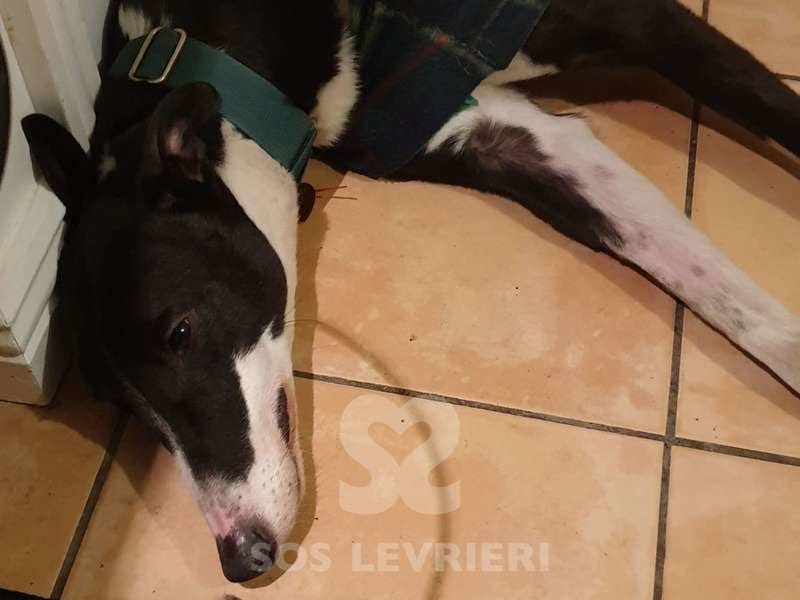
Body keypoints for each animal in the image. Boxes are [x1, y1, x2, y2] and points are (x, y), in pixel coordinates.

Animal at [20, 0, 800, 584]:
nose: (242, 558)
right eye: (116, 402)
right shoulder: (496, 133)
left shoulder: (631, 17)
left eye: (179, 333)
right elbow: (729, 298)